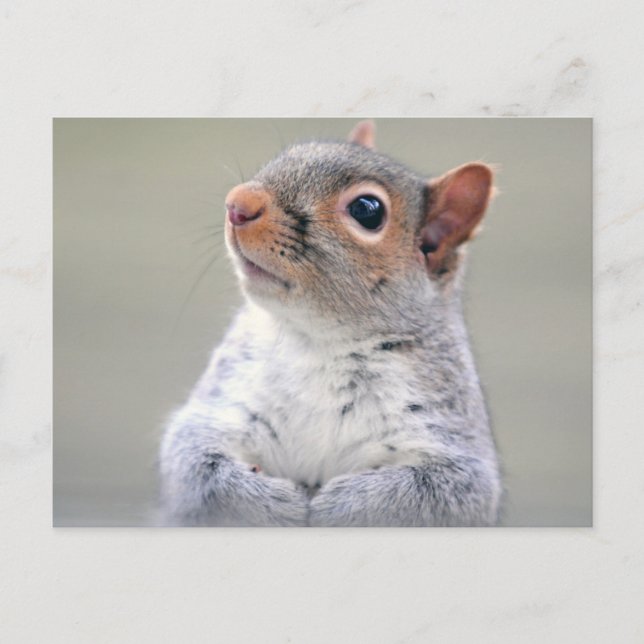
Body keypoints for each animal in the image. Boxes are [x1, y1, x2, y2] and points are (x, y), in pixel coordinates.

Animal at [159, 120, 502, 527]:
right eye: (289, 154)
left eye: (367, 210)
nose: (238, 204)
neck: (318, 341)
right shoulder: (223, 403)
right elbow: (193, 463)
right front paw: (273, 502)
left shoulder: (450, 437)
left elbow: (444, 493)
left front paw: (342, 505)